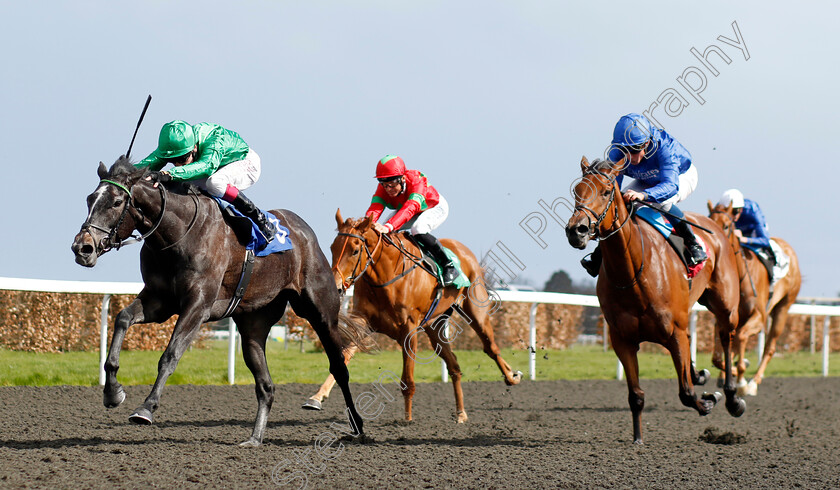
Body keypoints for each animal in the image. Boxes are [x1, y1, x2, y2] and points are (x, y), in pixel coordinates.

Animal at [70, 158, 372, 448]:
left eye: (116, 202)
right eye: (89, 199)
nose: (82, 248)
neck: (178, 234)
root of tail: (304, 232)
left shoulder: (198, 305)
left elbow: (170, 354)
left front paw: (146, 408)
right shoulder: (159, 301)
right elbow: (122, 318)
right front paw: (112, 392)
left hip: (320, 312)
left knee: (339, 367)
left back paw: (357, 427)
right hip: (253, 325)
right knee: (266, 386)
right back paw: (254, 438)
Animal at [298, 209, 520, 424]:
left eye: (355, 250)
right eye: (332, 248)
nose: (335, 287)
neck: (386, 277)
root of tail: (463, 250)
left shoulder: (409, 329)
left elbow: (408, 380)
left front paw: (407, 419)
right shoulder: (363, 320)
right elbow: (343, 357)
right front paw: (316, 397)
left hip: (475, 310)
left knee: (491, 347)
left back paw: (511, 376)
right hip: (435, 326)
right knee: (454, 365)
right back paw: (461, 414)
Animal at [568, 158, 744, 444]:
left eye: (606, 192)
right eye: (576, 191)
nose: (577, 230)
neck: (633, 273)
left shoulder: (674, 333)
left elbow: (686, 393)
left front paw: (709, 401)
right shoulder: (622, 339)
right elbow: (636, 395)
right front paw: (637, 438)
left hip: (726, 306)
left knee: (726, 337)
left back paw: (731, 397)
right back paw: (700, 374)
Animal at [708, 201, 800, 396]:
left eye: (726, 226)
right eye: (709, 219)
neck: (740, 276)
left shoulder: (759, 316)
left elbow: (742, 338)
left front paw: (742, 380)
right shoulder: (723, 317)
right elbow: (717, 357)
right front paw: (731, 372)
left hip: (783, 308)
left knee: (769, 347)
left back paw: (753, 382)